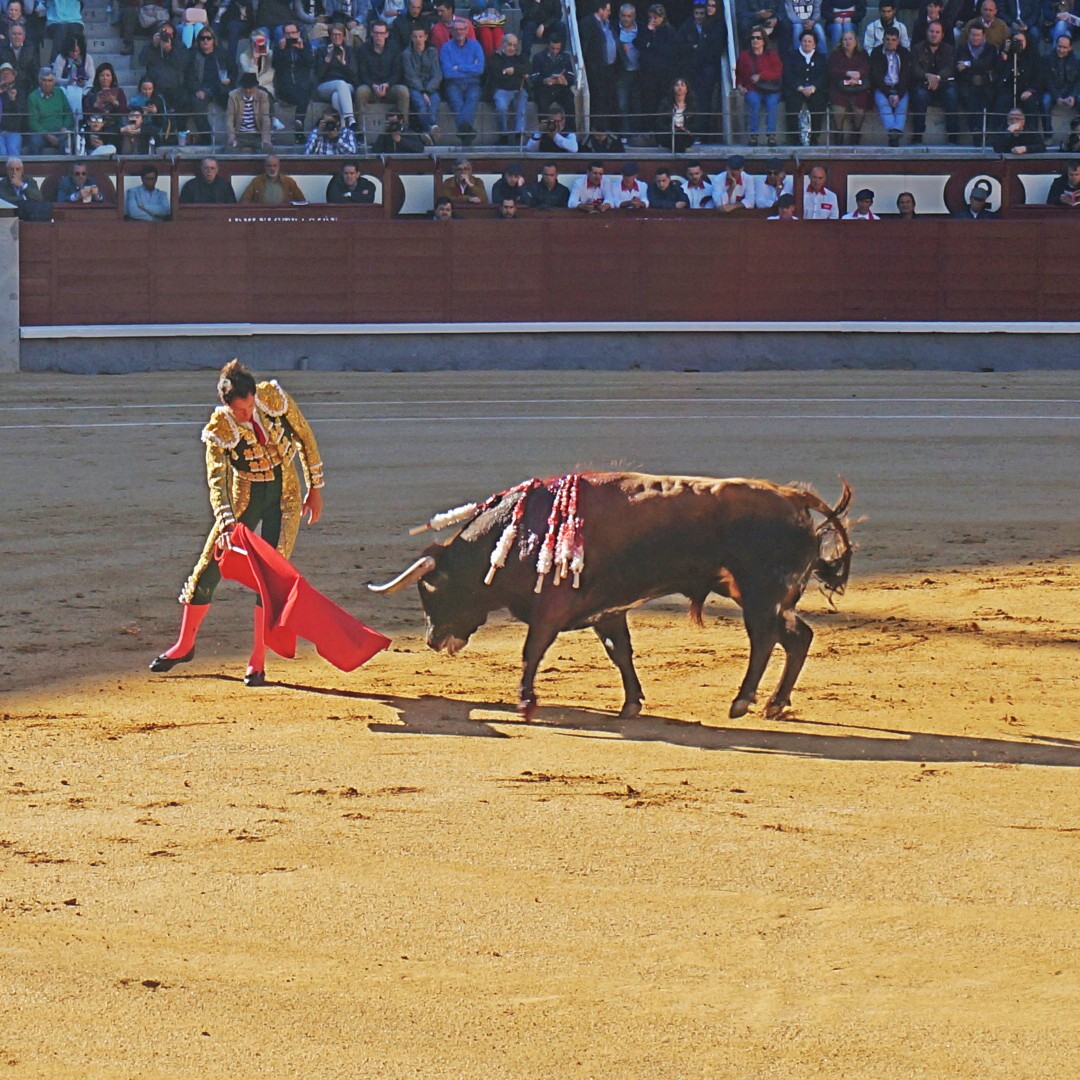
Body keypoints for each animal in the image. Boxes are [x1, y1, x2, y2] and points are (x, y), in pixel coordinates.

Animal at [371, 475, 851, 721]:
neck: (517, 533)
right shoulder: (606, 611)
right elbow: (620, 653)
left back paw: (743, 701)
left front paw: (526, 701)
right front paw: (631, 704)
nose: (433, 641)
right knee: (799, 637)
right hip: (768, 597)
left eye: (431, 589)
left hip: (759, 595)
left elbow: (532, 651)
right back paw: (775, 704)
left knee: (765, 640)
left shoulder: (551, 609)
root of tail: (794, 497)